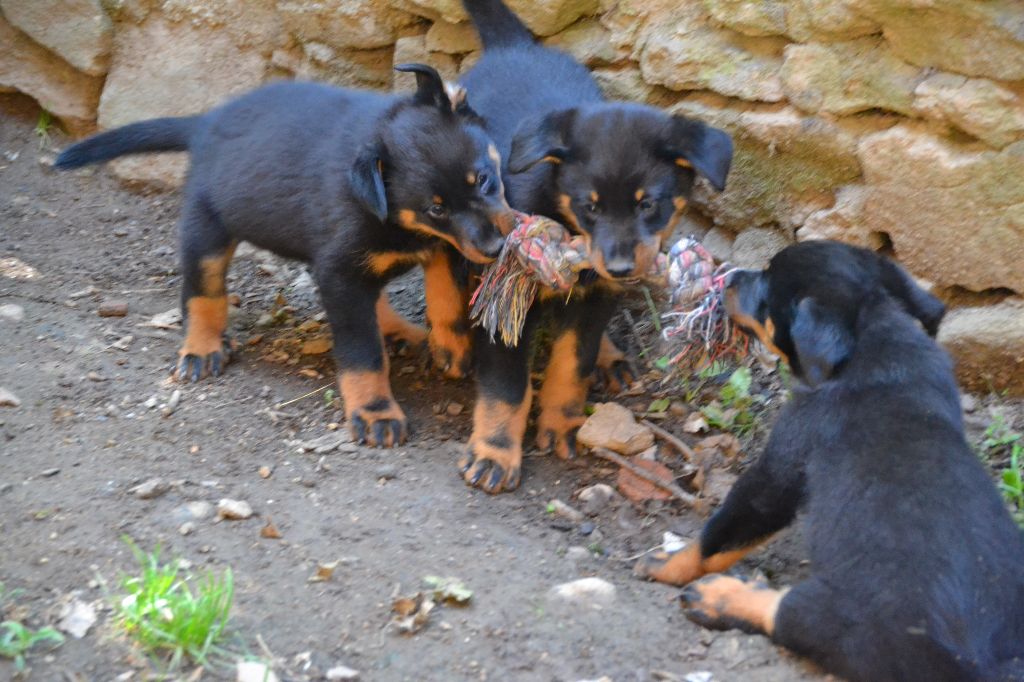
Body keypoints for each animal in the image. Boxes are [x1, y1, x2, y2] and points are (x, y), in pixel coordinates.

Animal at [56, 65, 512, 446]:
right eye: (436, 208)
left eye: (483, 179)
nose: (496, 249)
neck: (390, 215)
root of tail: (205, 122)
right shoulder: (343, 272)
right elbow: (362, 354)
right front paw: (375, 412)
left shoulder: (439, 246)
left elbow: (446, 297)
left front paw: (451, 347)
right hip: (206, 230)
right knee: (202, 295)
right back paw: (201, 348)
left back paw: (401, 331)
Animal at [630, 240, 1024, 679]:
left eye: (766, 287)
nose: (727, 277)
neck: (874, 335)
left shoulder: (778, 471)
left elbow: (716, 537)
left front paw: (664, 562)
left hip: (856, 623)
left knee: (790, 616)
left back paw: (719, 597)